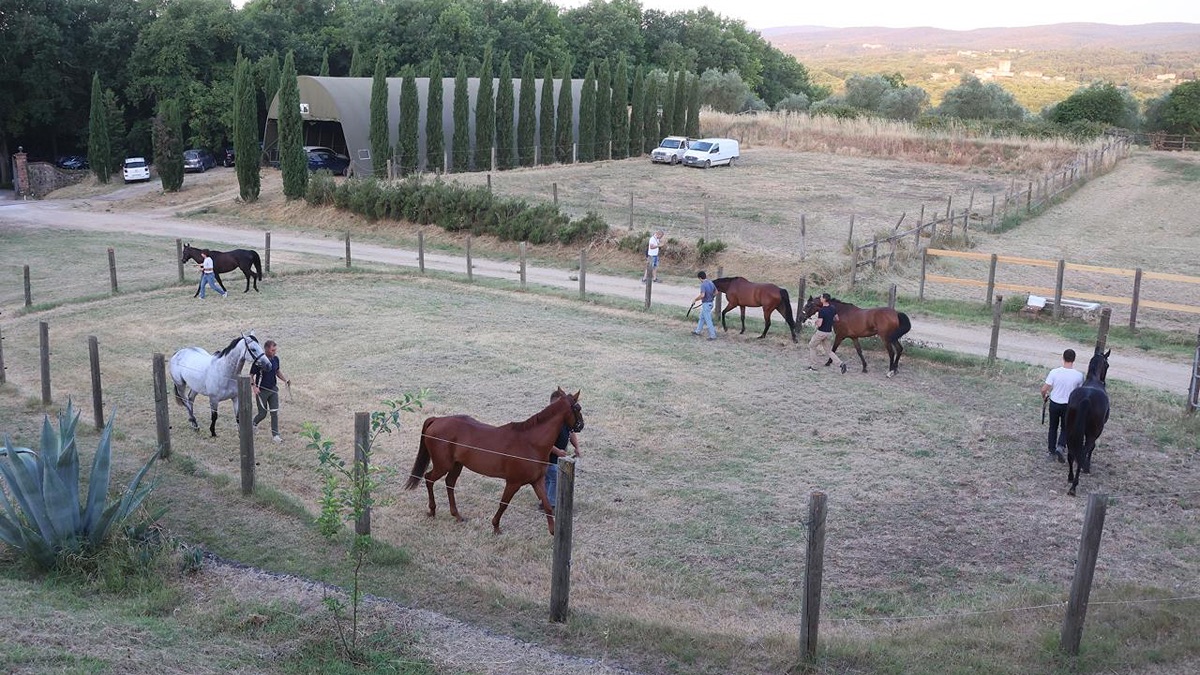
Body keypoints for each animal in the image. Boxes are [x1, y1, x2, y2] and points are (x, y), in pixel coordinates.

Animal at [404, 388, 585, 535]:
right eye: (577, 408)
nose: (581, 425)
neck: (530, 442)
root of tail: (436, 419)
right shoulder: (513, 482)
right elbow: (503, 504)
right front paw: (496, 527)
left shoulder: (537, 481)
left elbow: (547, 505)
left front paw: (553, 532)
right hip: (443, 465)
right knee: (429, 479)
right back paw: (432, 511)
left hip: (457, 465)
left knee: (450, 483)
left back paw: (456, 515)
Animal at [1065, 349, 1111, 497]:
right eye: (1107, 365)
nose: (1104, 380)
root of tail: (1087, 398)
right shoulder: (1095, 433)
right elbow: (1092, 448)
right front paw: (1087, 467)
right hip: (1092, 432)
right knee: (1084, 451)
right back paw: (1074, 486)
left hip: (1069, 429)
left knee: (1071, 453)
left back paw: (1070, 478)